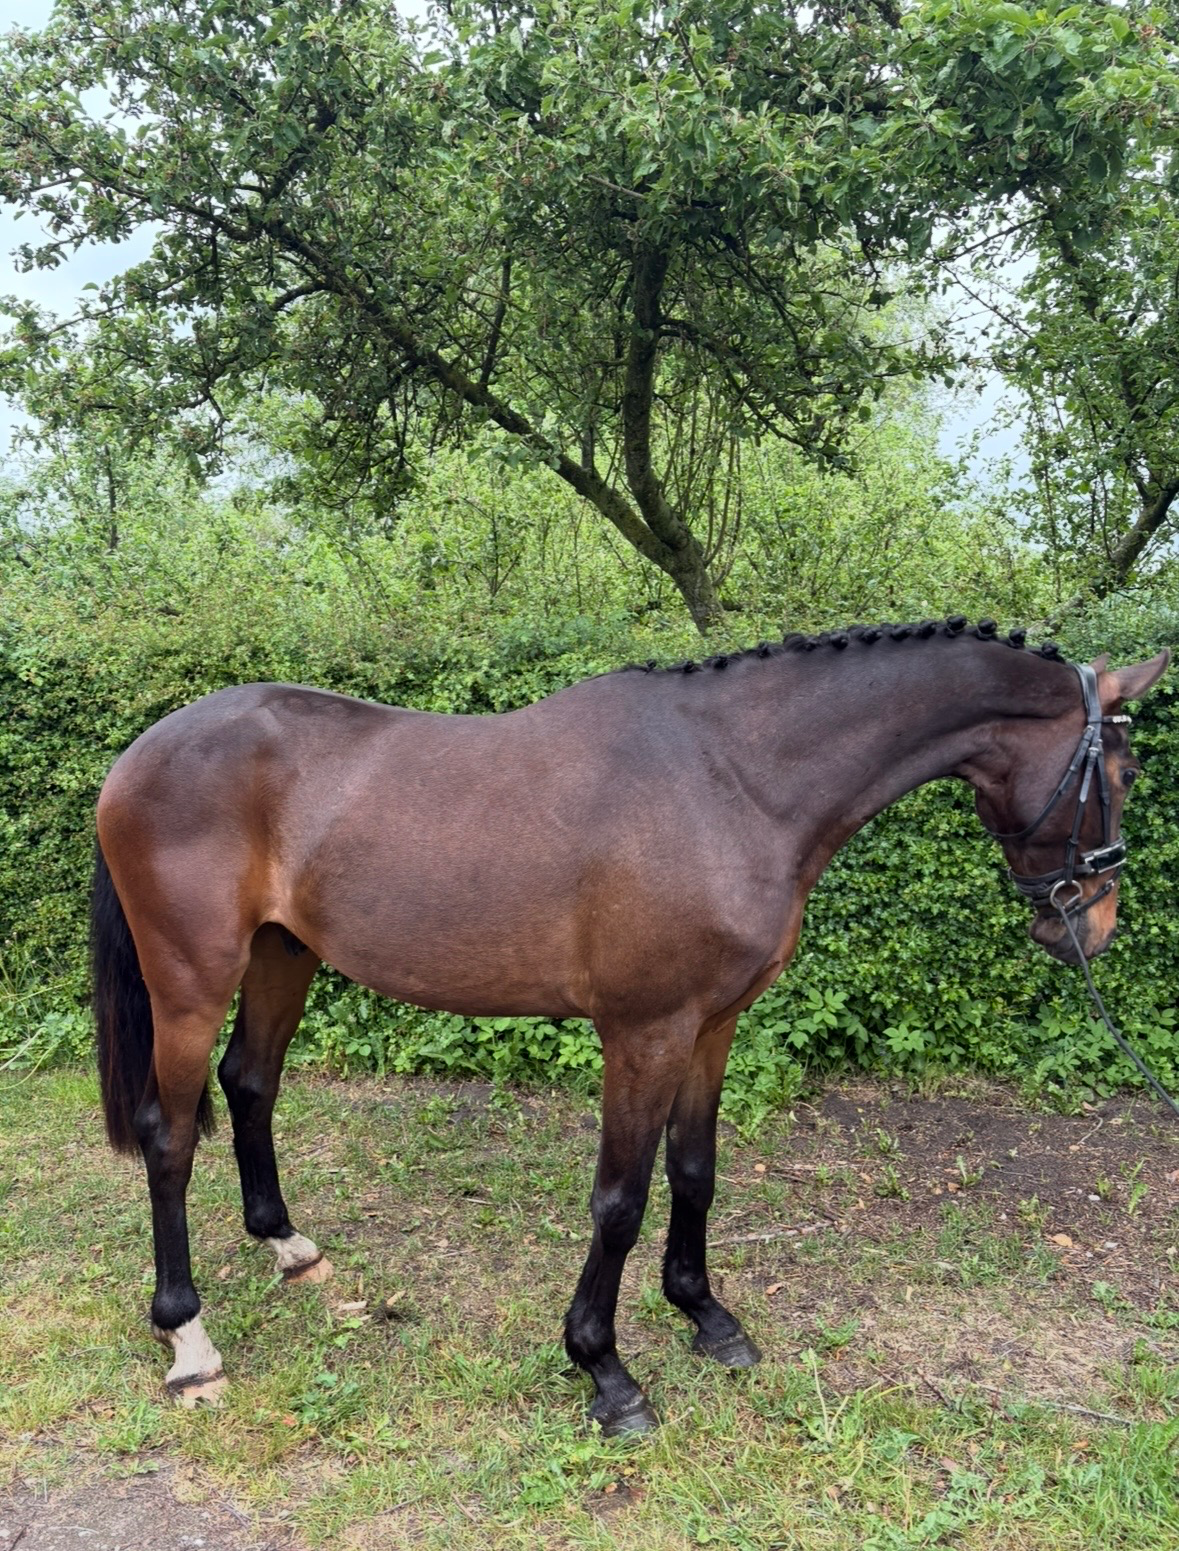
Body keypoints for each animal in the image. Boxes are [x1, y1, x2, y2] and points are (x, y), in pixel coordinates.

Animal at [90, 618, 1168, 1434]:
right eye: (1123, 770)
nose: (1094, 925)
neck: (732, 780)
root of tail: (139, 754)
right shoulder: (642, 1032)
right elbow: (620, 1198)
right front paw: (604, 1371)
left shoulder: (712, 1023)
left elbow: (694, 1169)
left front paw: (706, 1316)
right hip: (191, 979)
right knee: (169, 1135)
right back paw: (188, 1341)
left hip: (284, 954)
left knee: (250, 1081)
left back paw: (286, 1245)